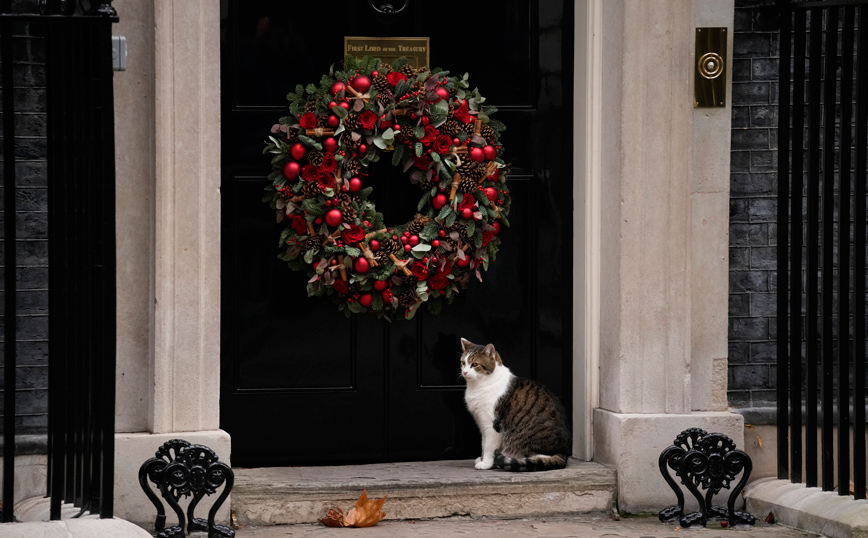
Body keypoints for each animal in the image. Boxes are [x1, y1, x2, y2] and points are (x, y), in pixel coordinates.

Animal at [458, 340, 572, 468]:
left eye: (474, 364)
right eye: (463, 363)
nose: (464, 372)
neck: (478, 385)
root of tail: (564, 453)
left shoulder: (491, 425)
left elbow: (488, 447)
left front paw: (486, 463)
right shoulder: (481, 423)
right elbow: (483, 443)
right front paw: (482, 459)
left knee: (540, 457)